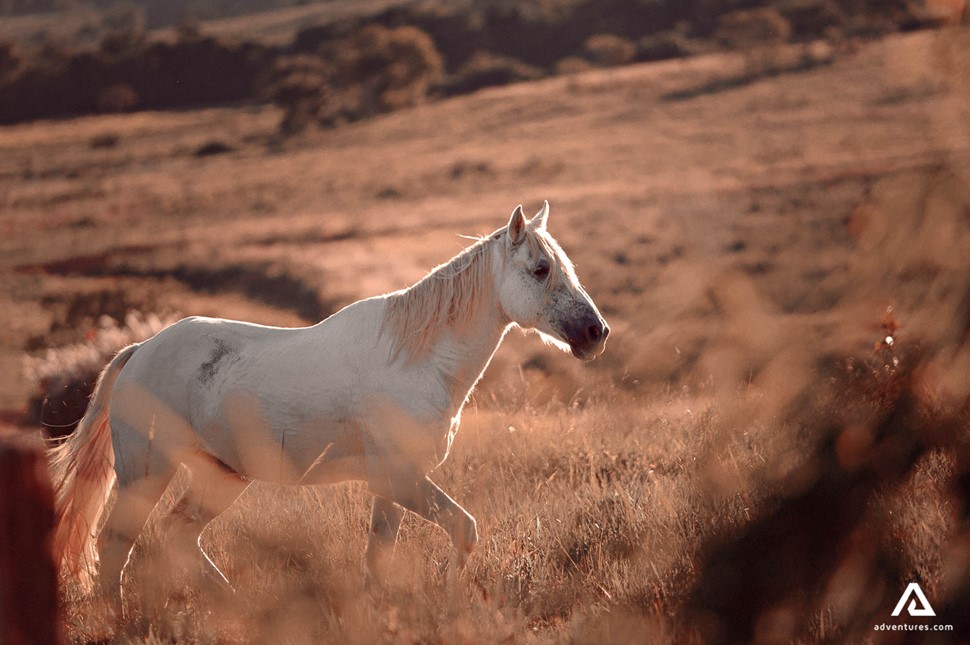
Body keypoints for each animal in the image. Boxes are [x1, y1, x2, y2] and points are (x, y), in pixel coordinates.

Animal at [47, 201, 604, 604]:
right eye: (541, 269)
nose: (596, 333)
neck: (418, 360)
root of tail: (140, 351)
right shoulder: (400, 478)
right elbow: (464, 530)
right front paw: (452, 604)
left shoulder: (391, 486)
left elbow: (378, 560)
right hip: (146, 471)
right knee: (115, 548)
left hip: (220, 476)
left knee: (177, 536)